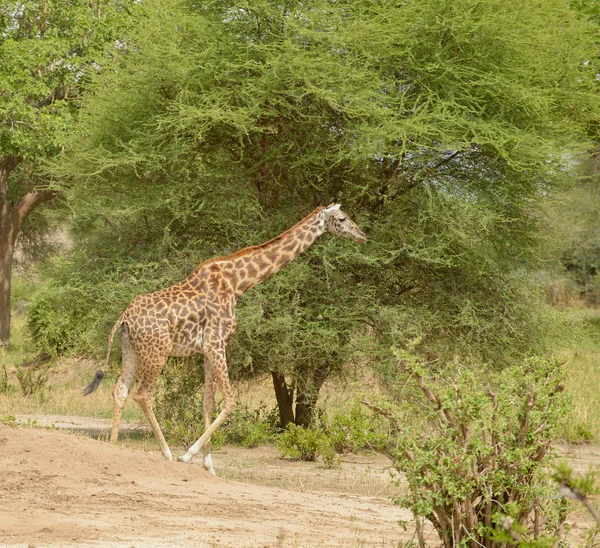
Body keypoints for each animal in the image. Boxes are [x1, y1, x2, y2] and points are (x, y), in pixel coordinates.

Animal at [82, 203, 366, 474]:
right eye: (342, 219)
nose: (362, 235)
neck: (238, 282)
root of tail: (124, 317)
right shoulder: (217, 343)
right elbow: (229, 402)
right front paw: (188, 455)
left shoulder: (207, 350)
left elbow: (207, 403)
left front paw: (209, 466)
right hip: (157, 352)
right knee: (143, 394)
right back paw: (168, 454)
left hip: (130, 349)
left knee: (120, 390)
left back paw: (114, 446)